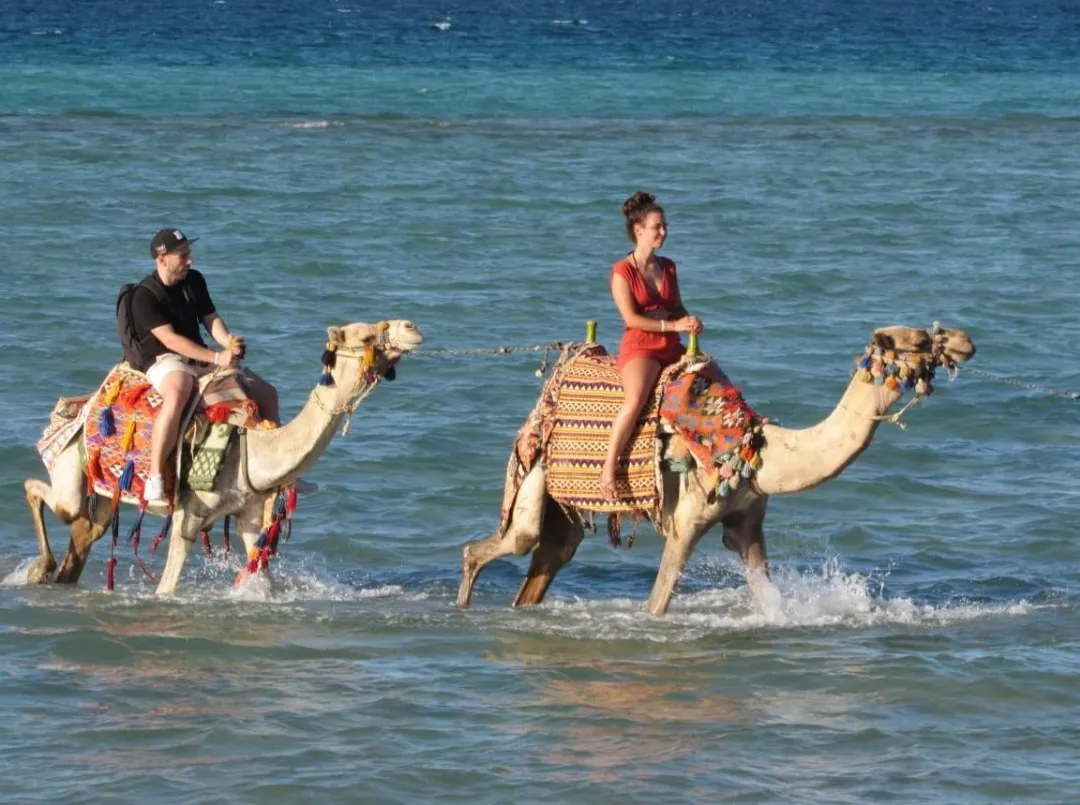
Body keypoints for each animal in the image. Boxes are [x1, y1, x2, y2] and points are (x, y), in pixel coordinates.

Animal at [25, 319, 423, 594]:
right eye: (365, 337)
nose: (411, 328)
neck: (254, 453)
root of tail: (78, 409)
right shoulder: (188, 517)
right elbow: (166, 589)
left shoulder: (250, 517)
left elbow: (262, 579)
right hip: (71, 467)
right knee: (44, 493)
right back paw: (38, 569)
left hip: (105, 492)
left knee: (85, 531)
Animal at [457, 324, 976, 615]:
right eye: (919, 338)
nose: (966, 342)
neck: (759, 454)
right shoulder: (686, 520)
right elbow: (657, 605)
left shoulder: (746, 524)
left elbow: (769, 596)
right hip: (534, 477)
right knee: (495, 545)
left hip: (561, 510)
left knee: (548, 558)